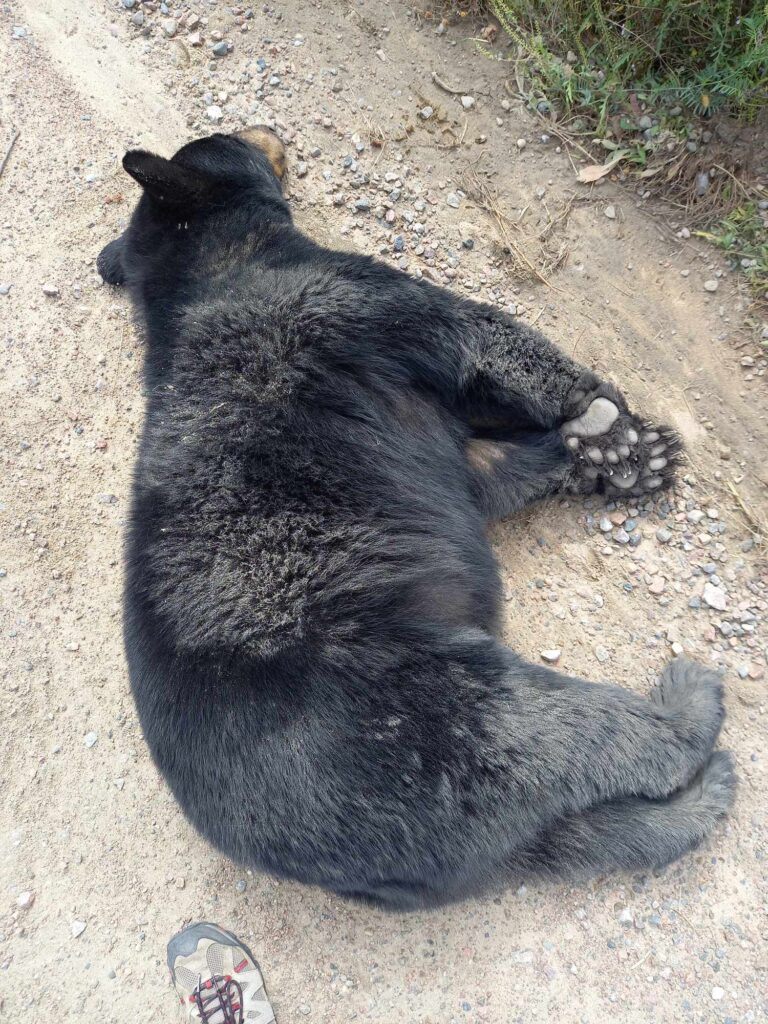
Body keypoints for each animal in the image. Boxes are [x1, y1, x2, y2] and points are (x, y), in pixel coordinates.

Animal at [99, 132, 737, 909]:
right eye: (231, 142)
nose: (269, 135)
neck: (203, 268)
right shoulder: (358, 298)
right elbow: (490, 342)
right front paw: (607, 420)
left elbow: (487, 470)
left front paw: (609, 455)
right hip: (442, 716)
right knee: (577, 736)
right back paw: (687, 710)